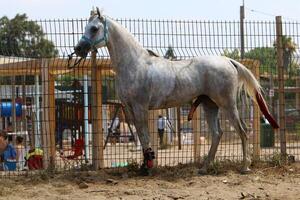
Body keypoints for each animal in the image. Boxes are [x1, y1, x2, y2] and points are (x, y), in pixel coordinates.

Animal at [73, 7, 278, 173]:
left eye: (94, 28)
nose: (78, 48)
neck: (135, 64)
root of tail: (228, 60)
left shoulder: (140, 107)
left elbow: (145, 136)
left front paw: (147, 167)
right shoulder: (129, 108)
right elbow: (141, 135)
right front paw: (145, 164)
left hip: (227, 104)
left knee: (243, 131)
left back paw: (244, 167)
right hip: (210, 105)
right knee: (217, 134)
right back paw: (204, 168)